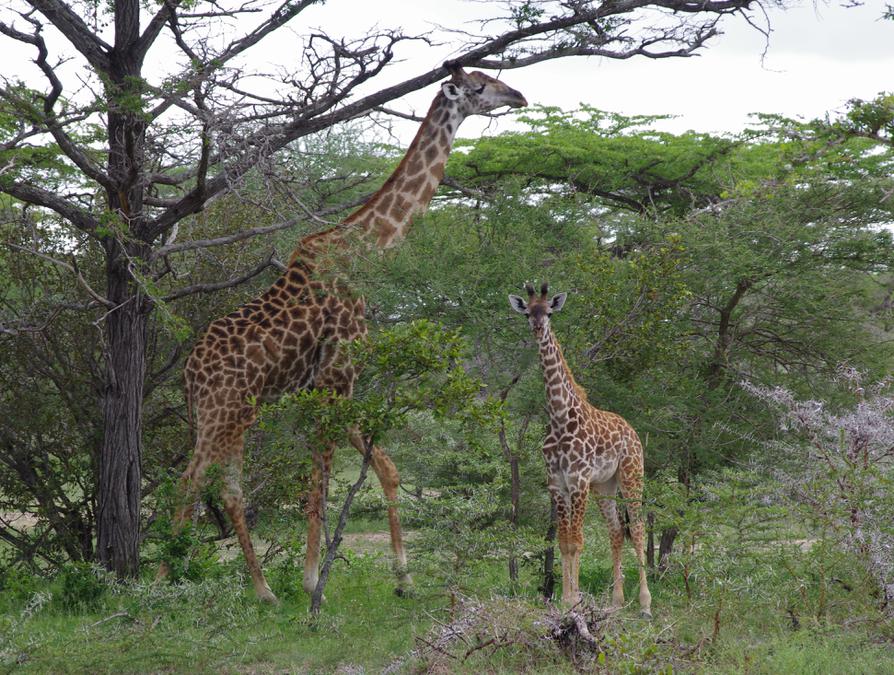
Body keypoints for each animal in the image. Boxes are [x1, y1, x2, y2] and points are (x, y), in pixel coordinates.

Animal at [162, 63, 528, 604]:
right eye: (480, 86)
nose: (520, 95)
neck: (367, 251)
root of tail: (188, 374)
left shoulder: (331, 385)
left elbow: (386, 468)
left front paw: (403, 577)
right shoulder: (338, 376)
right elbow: (322, 479)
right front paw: (314, 581)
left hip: (234, 417)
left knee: (227, 488)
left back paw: (261, 590)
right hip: (221, 414)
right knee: (190, 481)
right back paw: (157, 583)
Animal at [512, 282, 652, 616]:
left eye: (549, 312)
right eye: (528, 313)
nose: (538, 328)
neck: (560, 417)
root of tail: (632, 430)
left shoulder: (578, 480)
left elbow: (577, 540)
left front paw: (574, 599)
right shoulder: (557, 483)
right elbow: (563, 542)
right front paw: (565, 599)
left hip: (632, 475)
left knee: (639, 529)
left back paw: (645, 604)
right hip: (605, 485)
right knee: (617, 531)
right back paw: (616, 601)